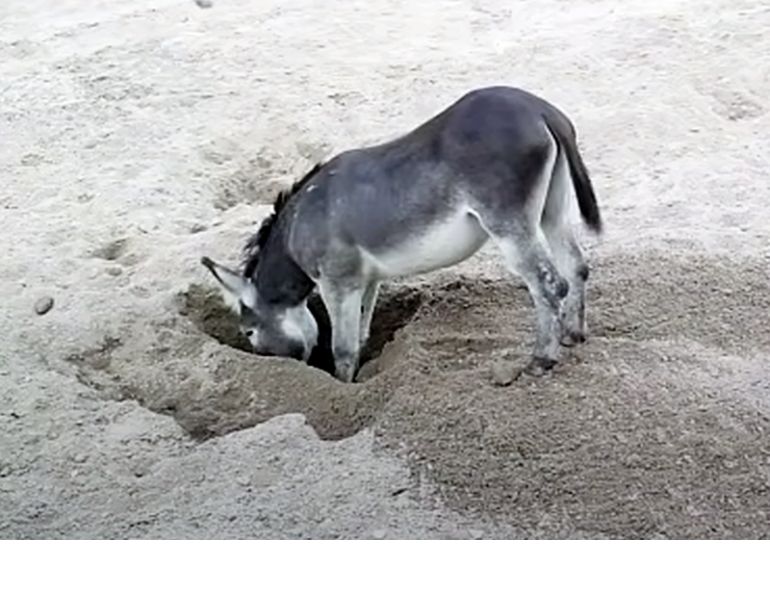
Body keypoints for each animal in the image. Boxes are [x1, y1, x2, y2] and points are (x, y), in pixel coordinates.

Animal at [202, 86, 602, 382]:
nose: (280, 370)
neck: (300, 223)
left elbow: (343, 348)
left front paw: (344, 387)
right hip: (552, 209)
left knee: (548, 283)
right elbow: (362, 336)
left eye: (248, 332)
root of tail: (539, 110)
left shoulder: (337, 282)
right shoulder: (367, 280)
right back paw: (572, 335)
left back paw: (540, 360)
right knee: (576, 266)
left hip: (508, 223)